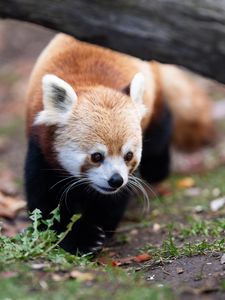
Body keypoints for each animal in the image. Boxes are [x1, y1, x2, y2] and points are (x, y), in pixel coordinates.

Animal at [25, 34, 214, 254]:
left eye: (128, 155)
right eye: (96, 156)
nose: (116, 180)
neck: (92, 85)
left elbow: (112, 201)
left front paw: (99, 227)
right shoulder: (41, 147)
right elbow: (45, 201)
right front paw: (80, 237)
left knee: (160, 133)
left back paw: (158, 169)